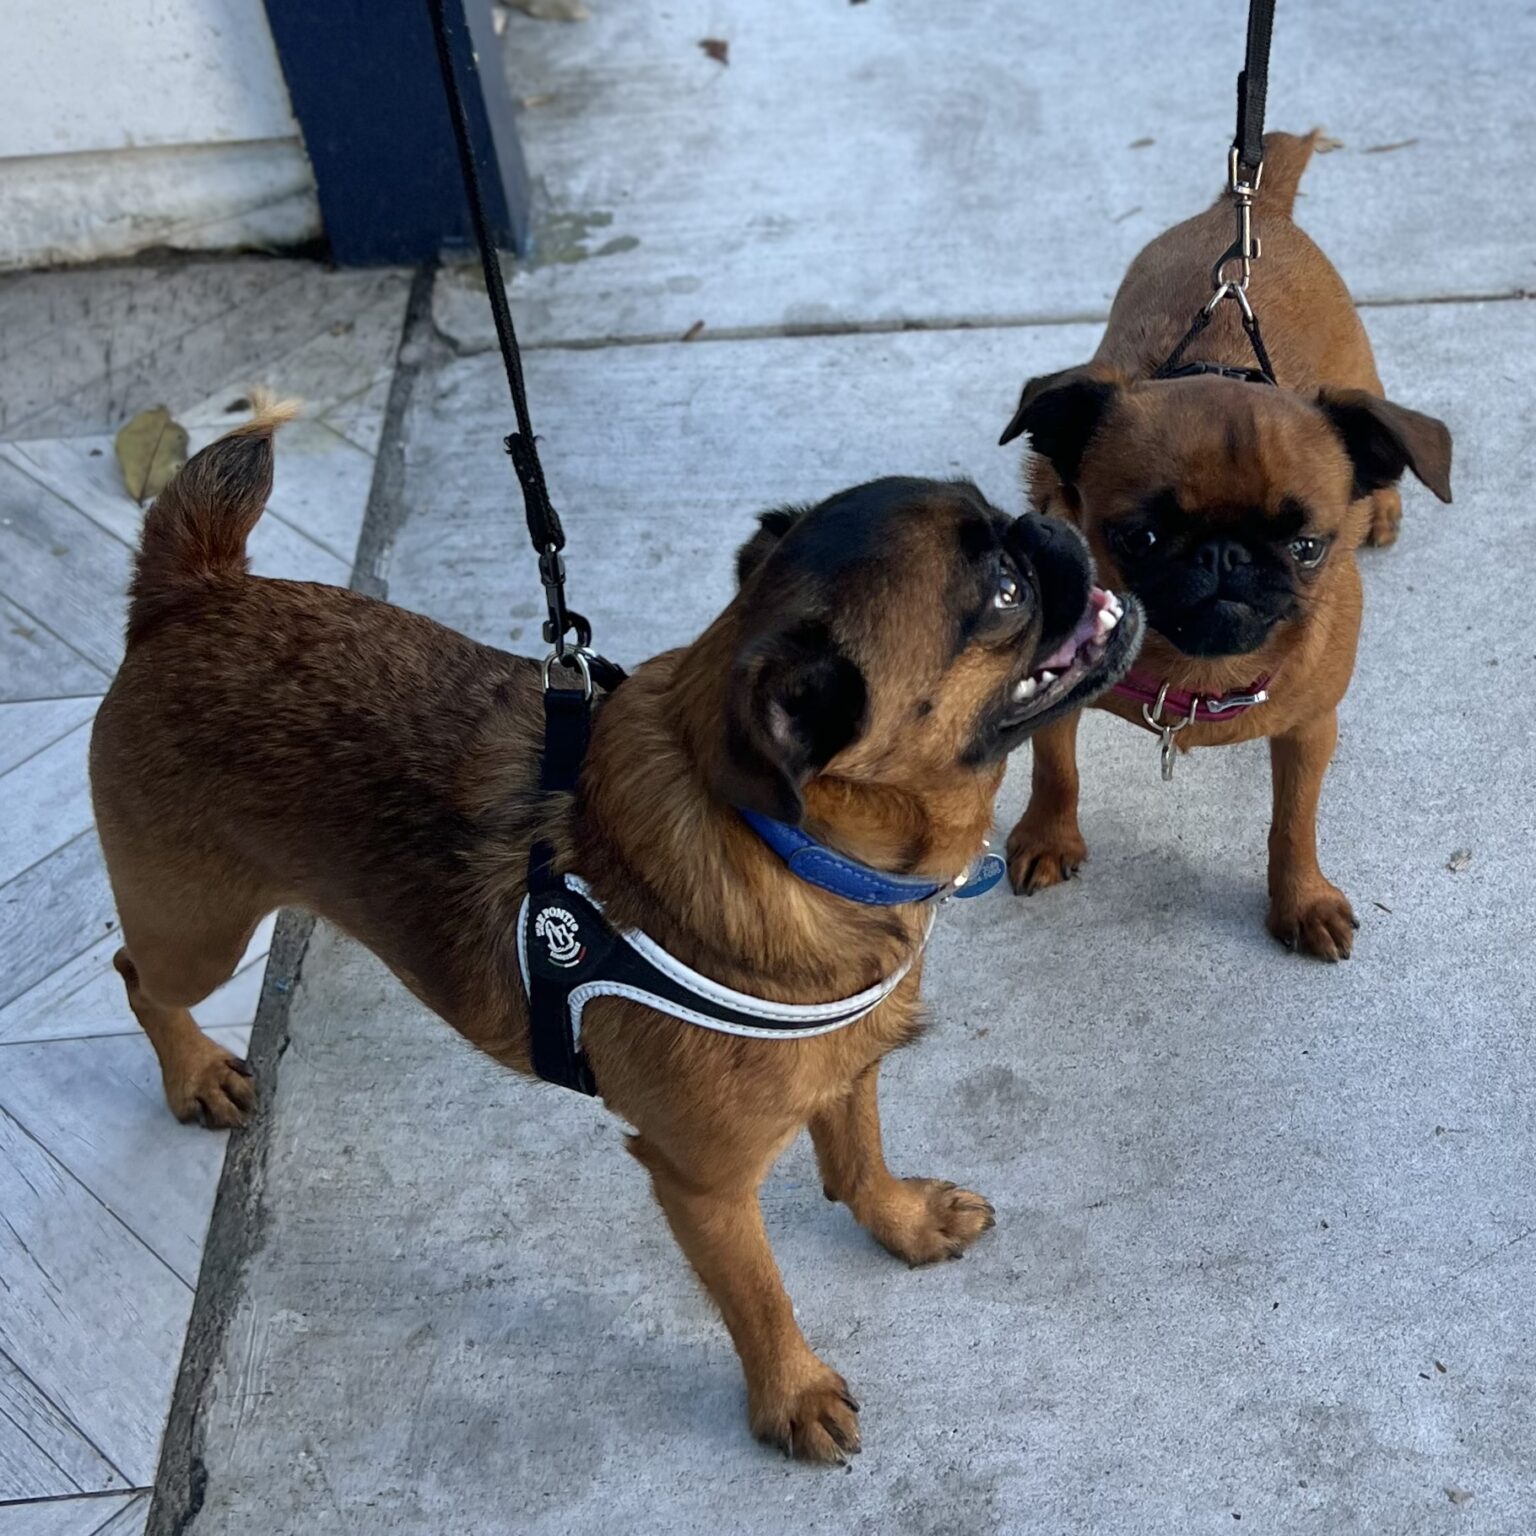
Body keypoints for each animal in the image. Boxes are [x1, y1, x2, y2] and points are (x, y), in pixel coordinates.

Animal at [87, 402, 1142, 1456]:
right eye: (1005, 594)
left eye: (1005, 523)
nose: (1045, 529)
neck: (798, 850)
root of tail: (191, 596)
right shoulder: (703, 1187)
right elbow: (759, 1296)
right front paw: (791, 1392)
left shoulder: (847, 1069)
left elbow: (856, 1155)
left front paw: (901, 1222)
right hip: (198, 935)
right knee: (136, 973)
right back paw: (193, 1074)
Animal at [995, 129, 1449, 958]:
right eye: (1139, 536)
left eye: (1306, 547)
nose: (1224, 557)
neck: (1193, 673)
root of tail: (1253, 208)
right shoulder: (1059, 697)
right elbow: (1056, 769)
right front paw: (1048, 835)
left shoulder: (1310, 732)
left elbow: (1293, 824)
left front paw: (1300, 900)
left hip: (1362, 376)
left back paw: (1384, 505)